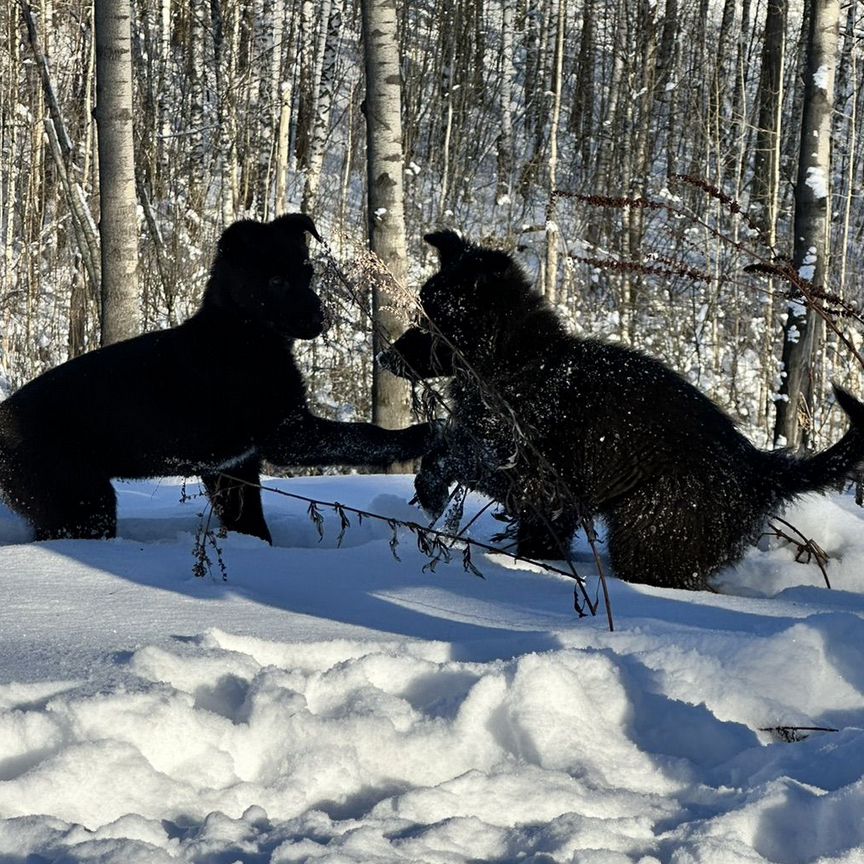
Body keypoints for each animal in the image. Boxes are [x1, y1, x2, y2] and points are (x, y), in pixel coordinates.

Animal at [0, 213, 430, 544]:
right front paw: (421, 434)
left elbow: (252, 527)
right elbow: (362, 434)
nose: (318, 319)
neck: (242, 335)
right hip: (83, 500)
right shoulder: (287, 434)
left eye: (308, 273)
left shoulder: (234, 468)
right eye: (276, 281)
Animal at [380, 230, 864, 592]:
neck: (517, 362)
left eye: (432, 321)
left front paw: (432, 490)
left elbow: (449, 457)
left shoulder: (533, 476)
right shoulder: (548, 493)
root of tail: (756, 467)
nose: (385, 357)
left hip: (651, 529)